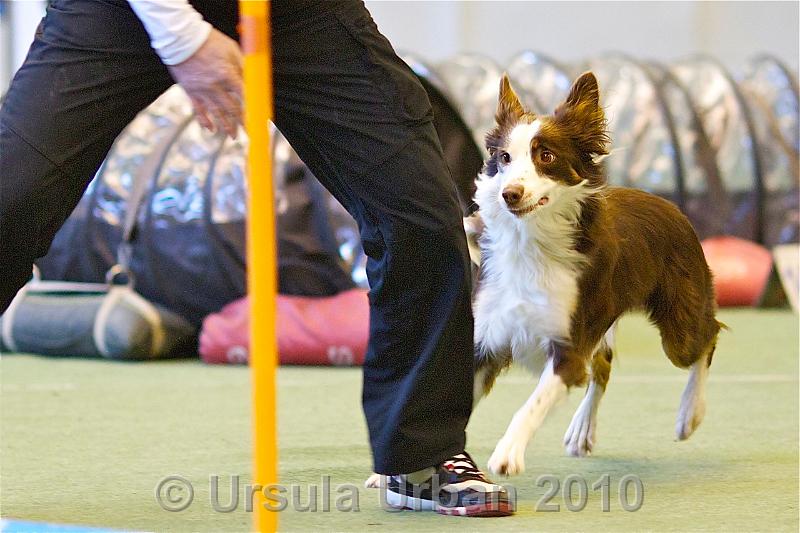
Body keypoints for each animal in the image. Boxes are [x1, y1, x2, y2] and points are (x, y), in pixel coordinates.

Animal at [465, 72, 723, 476]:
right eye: (504, 158)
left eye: (546, 156)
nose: (510, 193)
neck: (532, 241)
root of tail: (672, 206)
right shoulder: (487, 338)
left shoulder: (568, 344)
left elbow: (532, 404)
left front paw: (508, 453)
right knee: (602, 365)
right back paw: (581, 431)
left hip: (679, 324)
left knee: (708, 337)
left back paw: (689, 414)